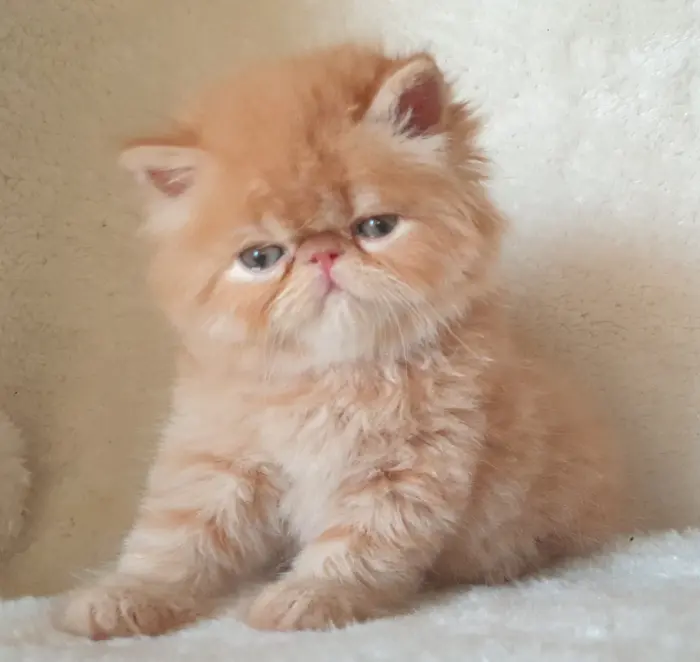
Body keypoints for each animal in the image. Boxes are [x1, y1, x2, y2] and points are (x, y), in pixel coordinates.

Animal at [55, 43, 621, 638]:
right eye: (261, 257)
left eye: (374, 227)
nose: (322, 254)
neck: (328, 377)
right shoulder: (217, 456)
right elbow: (175, 536)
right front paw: (127, 593)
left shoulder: (407, 467)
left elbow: (360, 544)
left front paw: (312, 596)